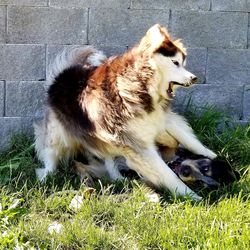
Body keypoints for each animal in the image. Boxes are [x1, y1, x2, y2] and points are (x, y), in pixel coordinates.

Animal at [33, 24, 217, 201]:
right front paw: (190, 194)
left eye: (182, 63)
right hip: (59, 132)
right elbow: (167, 173)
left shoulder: (161, 119)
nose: (194, 78)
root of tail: (63, 73)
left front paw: (213, 155)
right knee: (50, 153)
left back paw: (117, 177)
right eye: (175, 62)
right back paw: (46, 176)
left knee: (107, 158)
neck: (142, 84)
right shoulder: (137, 145)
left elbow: (188, 139)